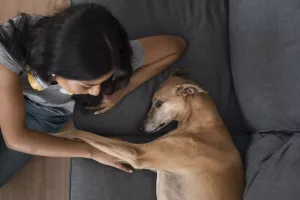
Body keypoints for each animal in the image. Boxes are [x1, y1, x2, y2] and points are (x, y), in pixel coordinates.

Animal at [58, 71, 244, 199]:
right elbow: (104, 142)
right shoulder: (155, 164)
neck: (201, 124)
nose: (140, 128)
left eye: (159, 103)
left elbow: (86, 134)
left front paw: (61, 134)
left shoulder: (139, 154)